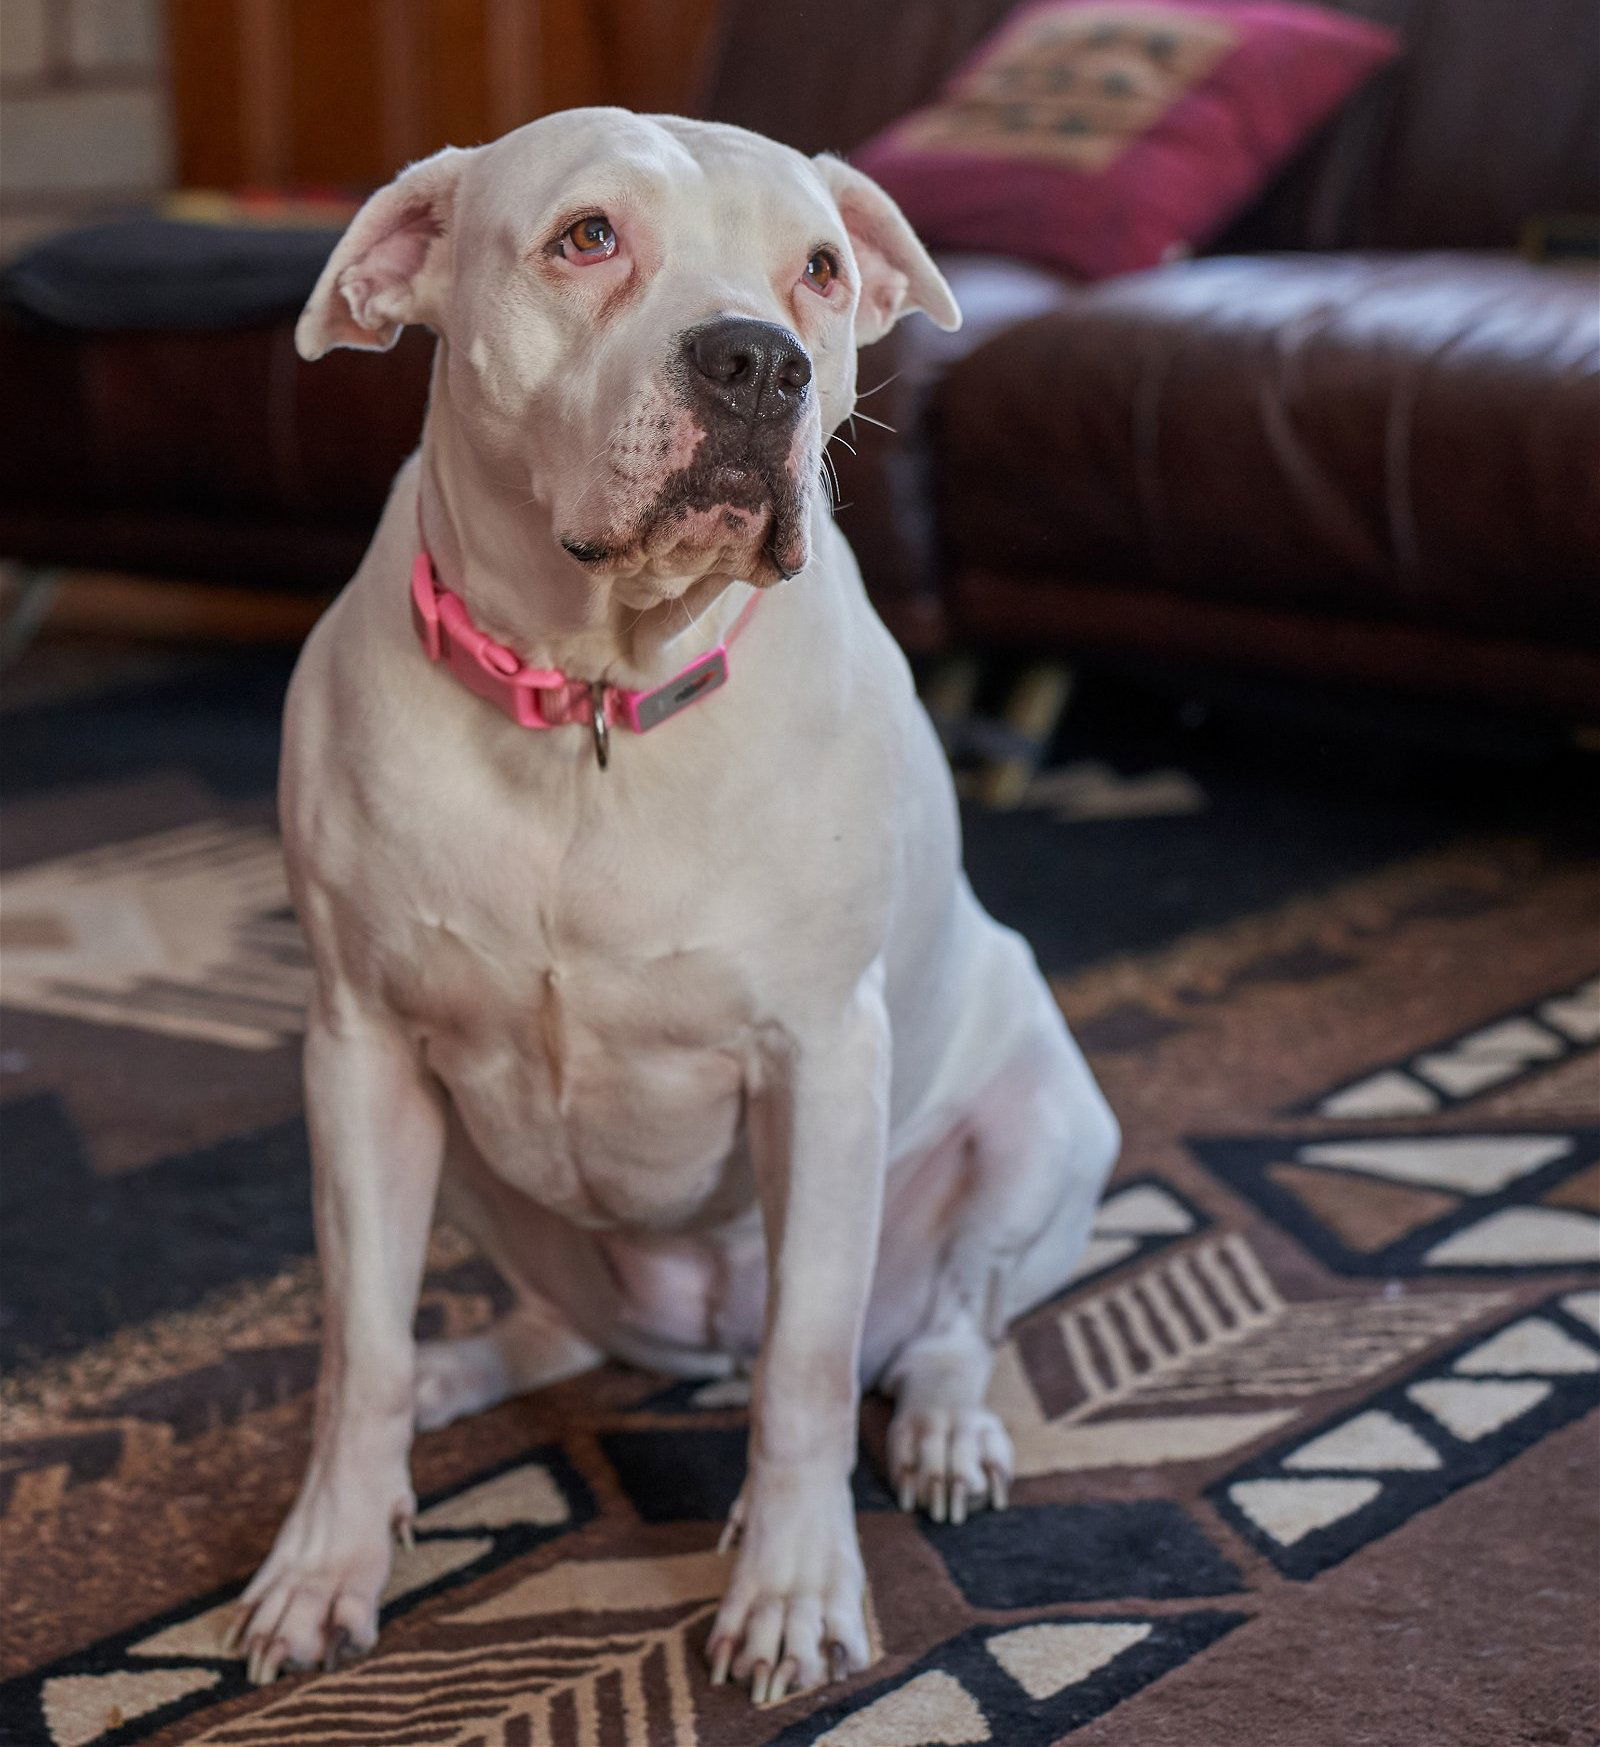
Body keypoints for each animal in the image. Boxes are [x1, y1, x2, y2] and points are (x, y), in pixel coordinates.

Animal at [234, 109, 1110, 1705]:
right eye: (587, 237)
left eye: (821, 268)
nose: (759, 361)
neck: (589, 695)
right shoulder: (359, 1051)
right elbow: (356, 1344)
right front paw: (327, 1560)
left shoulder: (820, 1063)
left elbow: (811, 1367)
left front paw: (795, 1585)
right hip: (473, 1170)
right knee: (544, 1330)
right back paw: (459, 1377)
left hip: (1041, 1132)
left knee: (945, 1322)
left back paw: (946, 1427)